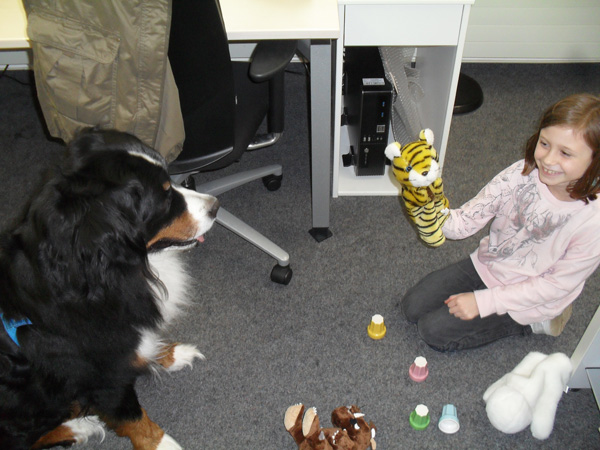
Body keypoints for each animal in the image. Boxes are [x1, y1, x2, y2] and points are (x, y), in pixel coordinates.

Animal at [0, 129, 219, 449]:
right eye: (165, 196)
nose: (216, 206)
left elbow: (142, 347)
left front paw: (173, 354)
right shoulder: (101, 375)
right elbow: (133, 417)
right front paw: (162, 443)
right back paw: (79, 427)